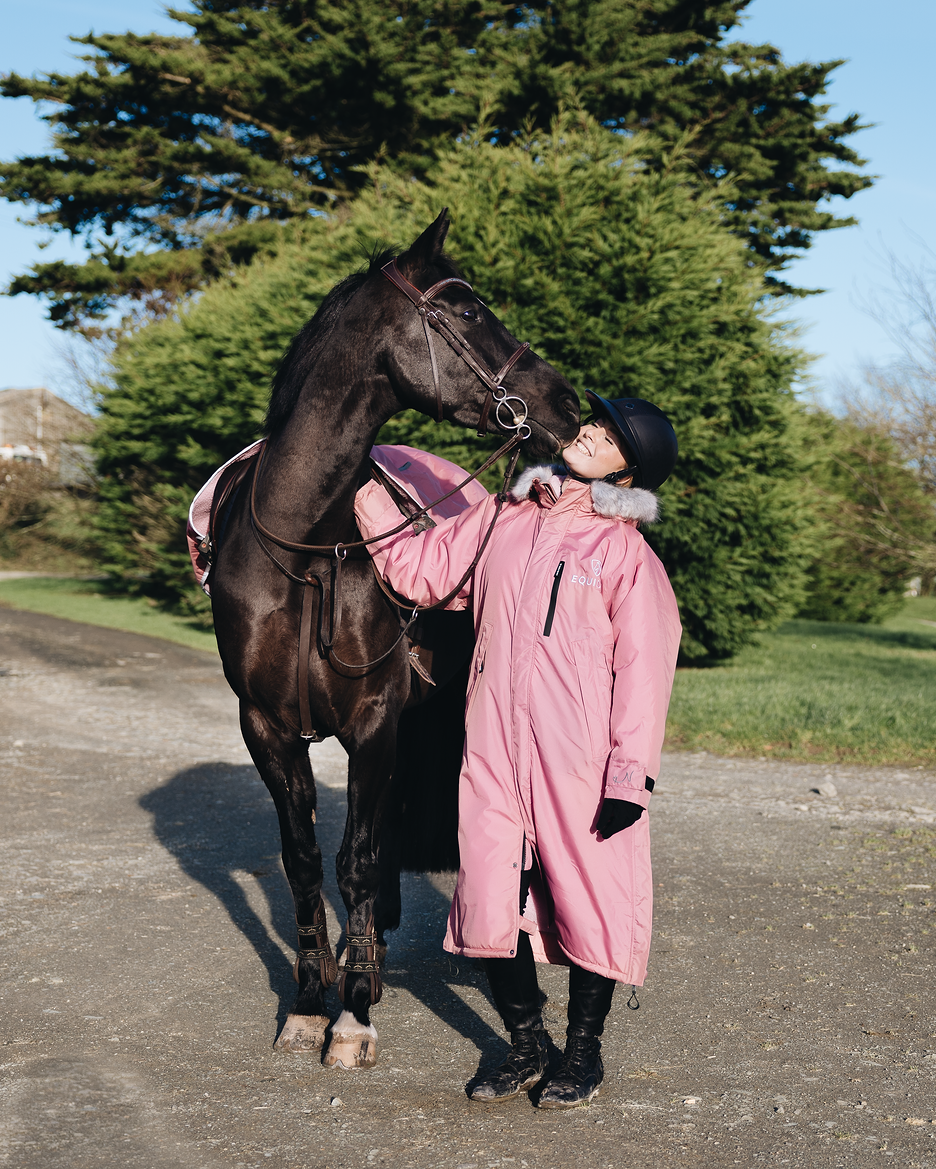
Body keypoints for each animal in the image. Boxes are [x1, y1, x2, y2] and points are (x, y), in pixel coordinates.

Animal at [209, 210, 580, 1070]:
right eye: (468, 309)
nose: (567, 401)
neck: (306, 549)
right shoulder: (266, 727)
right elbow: (306, 862)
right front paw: (310, 1002)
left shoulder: (374, 718)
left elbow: (359, 859)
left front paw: (351, 1013)